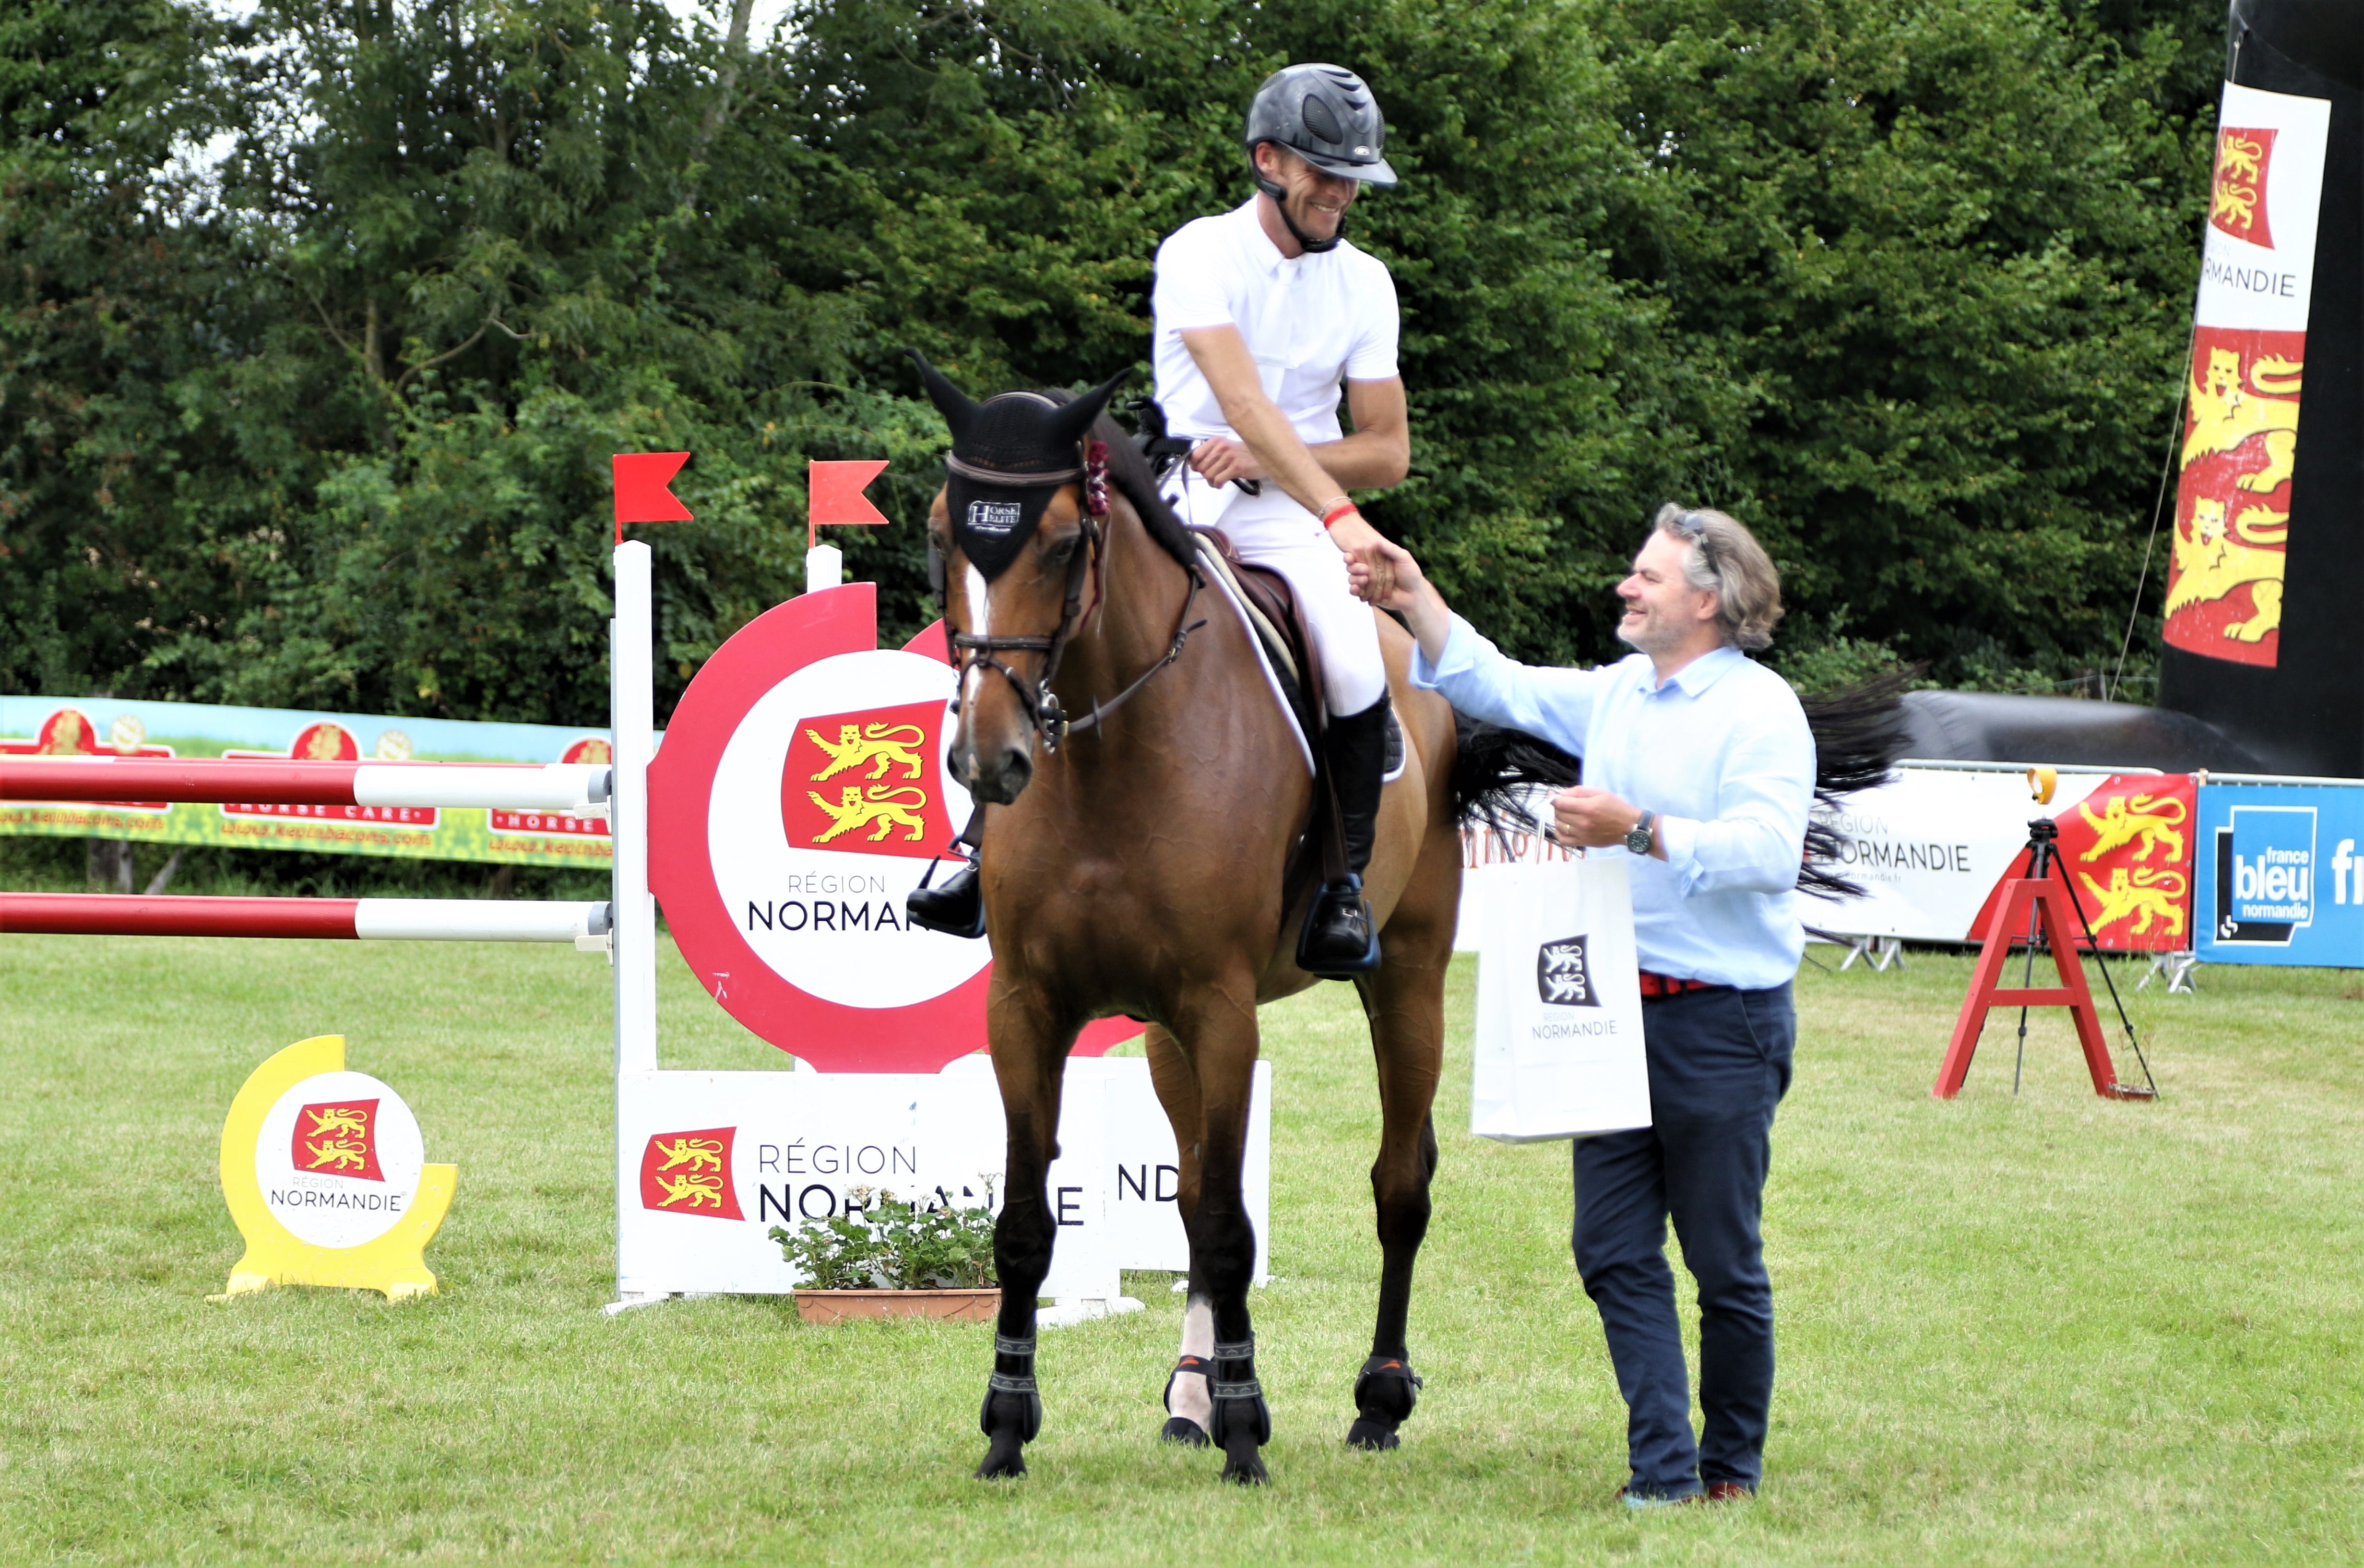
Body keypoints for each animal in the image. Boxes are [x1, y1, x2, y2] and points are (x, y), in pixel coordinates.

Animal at [909, 354, 1555, 1485]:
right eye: (946, 535)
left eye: (1064, 542)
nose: (991, 759)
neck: (1109, 749)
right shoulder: (1028, 1006)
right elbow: (1032, 1221)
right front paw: (1007, 1425)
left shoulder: (1222, 1007)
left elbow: (1226, 1226)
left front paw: (1249, 1431)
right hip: (1167, 1031)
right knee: (1195, 1182)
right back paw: (1190, 1394)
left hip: (1408, 974)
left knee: (1399, 1182)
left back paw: (1377, 1398)